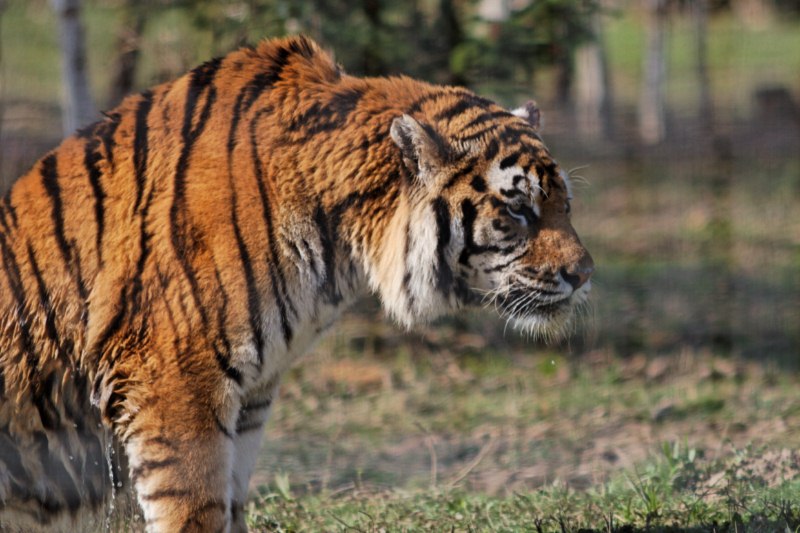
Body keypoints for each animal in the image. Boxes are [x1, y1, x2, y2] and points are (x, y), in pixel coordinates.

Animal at [1, 35, 592, 528]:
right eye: (517, 209)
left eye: (565, 203)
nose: (584, 274)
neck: (340, 246)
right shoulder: (172, 385)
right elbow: (194, 511)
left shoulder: (249, 399)